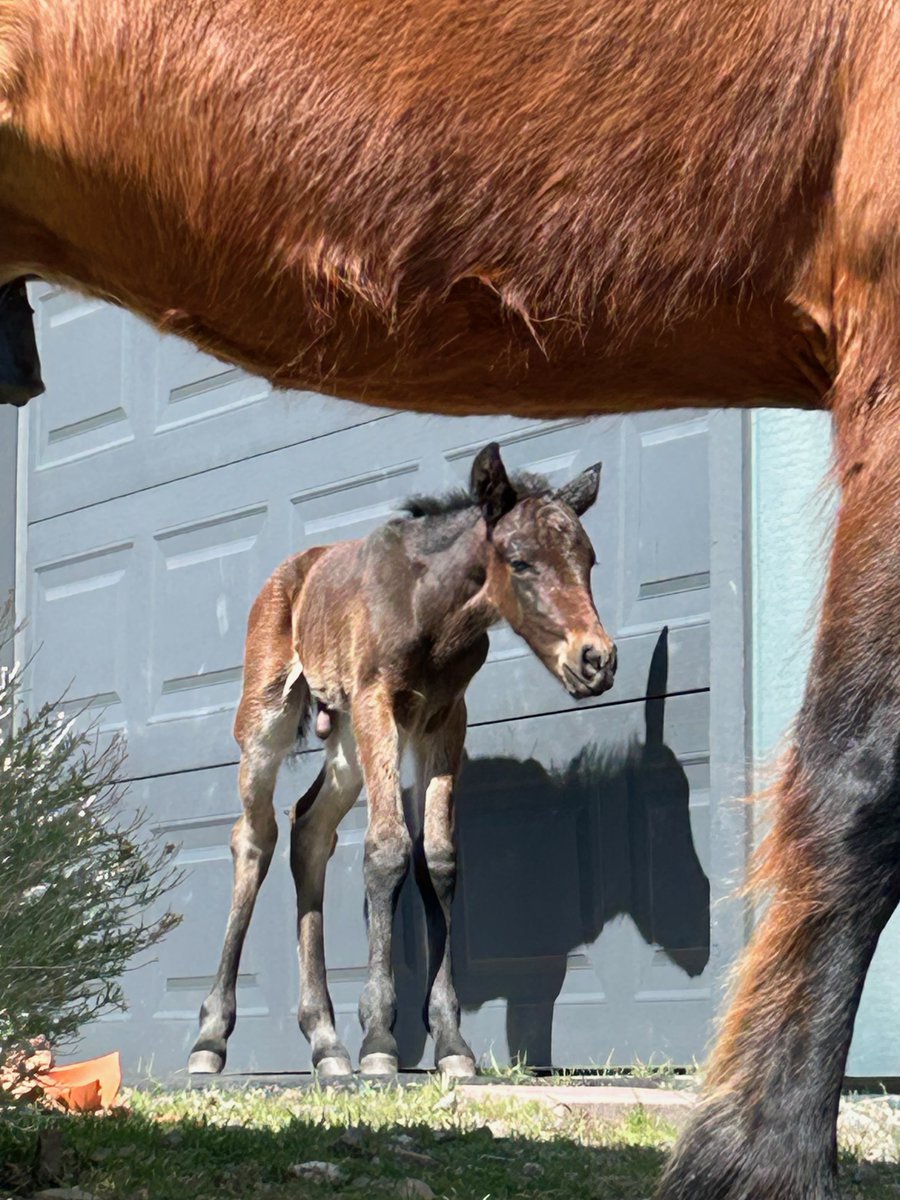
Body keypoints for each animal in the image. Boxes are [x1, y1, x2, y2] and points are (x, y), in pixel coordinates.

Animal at [188, 443, 615, 1080]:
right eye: (519, 562)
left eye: (588, 560)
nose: (598, 660)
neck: (431, 612)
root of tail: (289, 572)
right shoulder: (377, 701)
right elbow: (386, 850)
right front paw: (380, 1040)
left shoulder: (445, 718)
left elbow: (437, 858)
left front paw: (450, 1040)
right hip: (265, 716)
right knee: (254, 836)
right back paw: (212, 1036)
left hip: (345, 740)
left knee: (308, 828)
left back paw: (325, 1041)